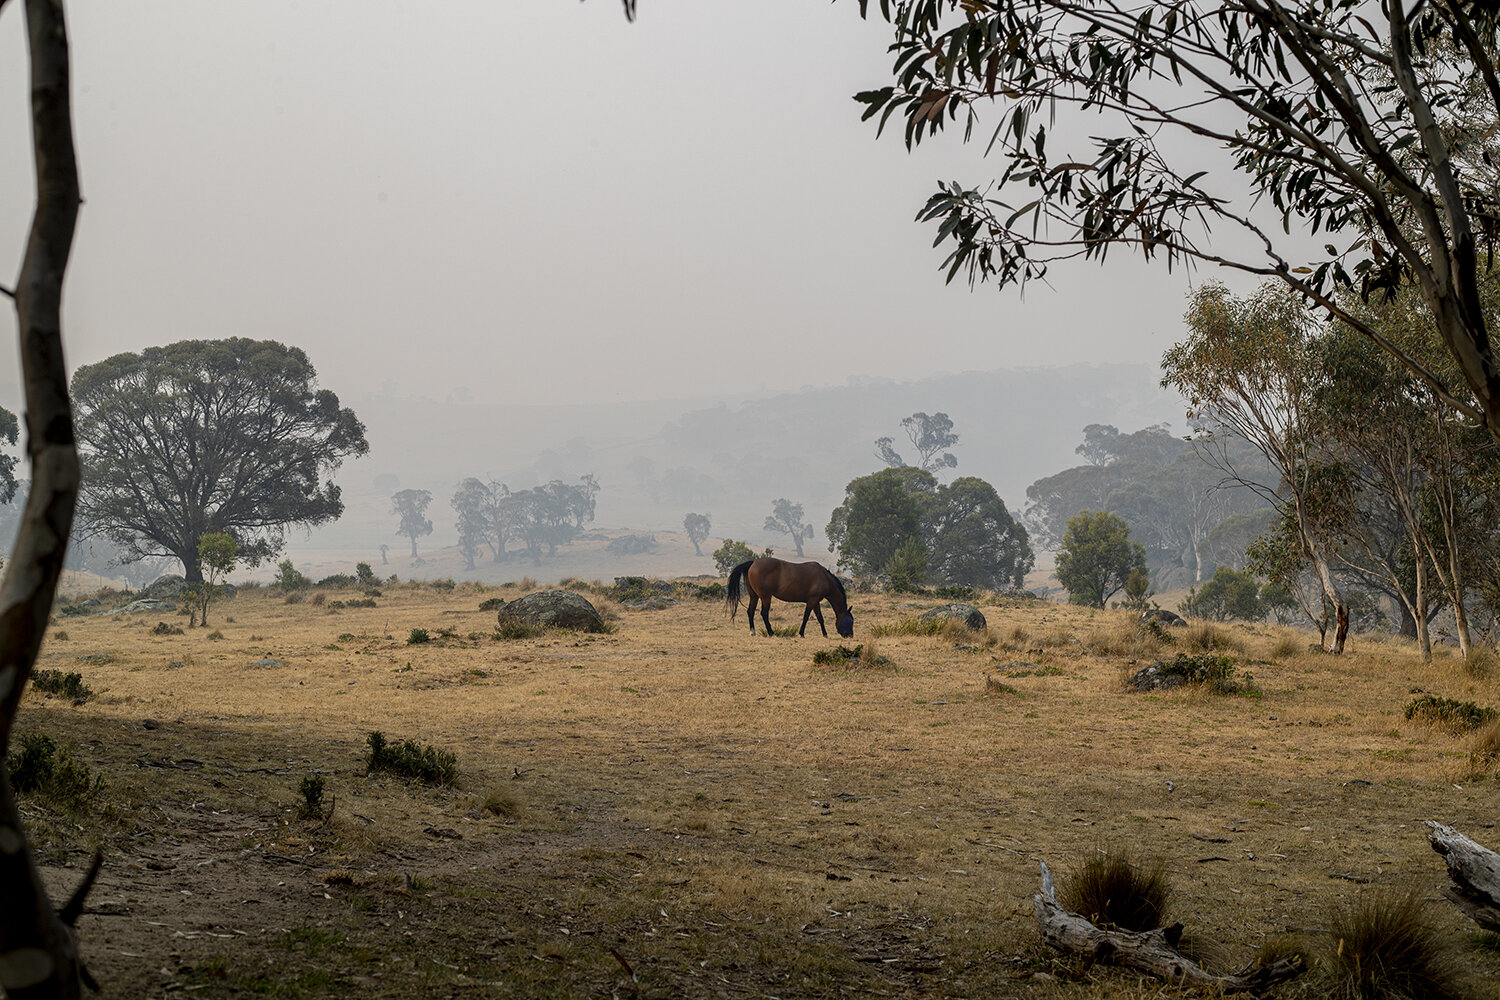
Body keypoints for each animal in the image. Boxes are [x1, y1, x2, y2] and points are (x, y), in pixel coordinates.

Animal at [726, 560, 858, 638]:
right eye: (849, 621)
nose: (850, 635)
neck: (824, 577)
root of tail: (753, 562)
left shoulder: (815, 602)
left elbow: (820, 618)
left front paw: (825, 634)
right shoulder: (812, 601)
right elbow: (806, 617)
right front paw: (801, 633)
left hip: (754, 596)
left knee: (751, 611)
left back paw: (752, 632)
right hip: (765, 597)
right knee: (764, 613)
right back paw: (771, 632)